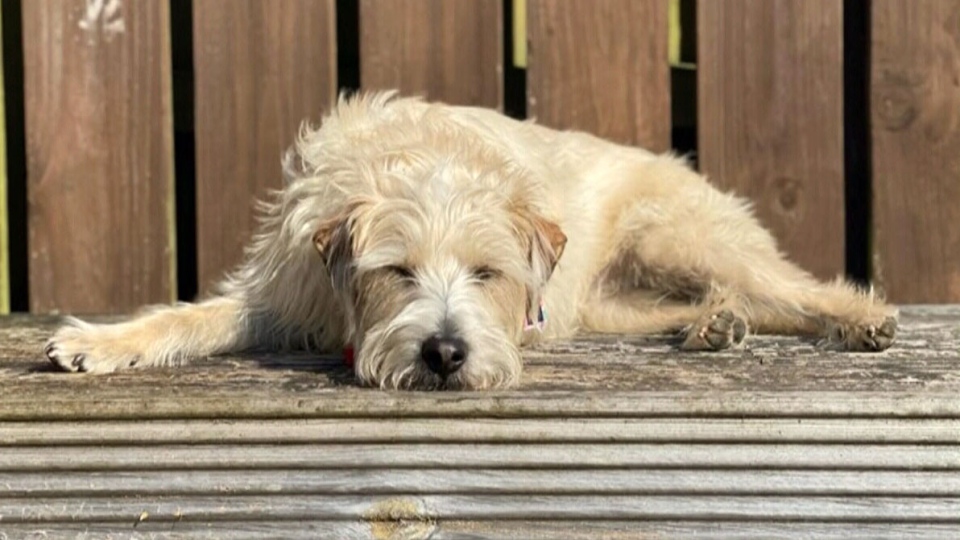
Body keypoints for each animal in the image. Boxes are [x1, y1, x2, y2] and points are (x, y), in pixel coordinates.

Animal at [43, 92, 900, 388]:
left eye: (487, 273)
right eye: (397, 271)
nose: (445, 354)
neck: (418, 159)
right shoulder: (285, 287)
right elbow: (194, 317)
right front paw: (103, 342)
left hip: (675, 236)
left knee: (788, 287)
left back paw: (858, 317)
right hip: (609, 303)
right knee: (719, 303)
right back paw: (715, 324)